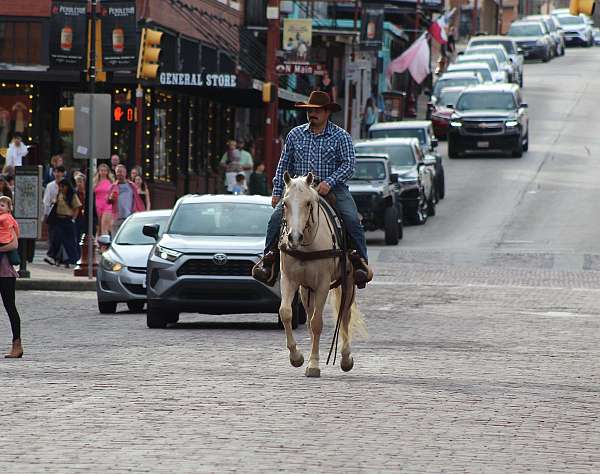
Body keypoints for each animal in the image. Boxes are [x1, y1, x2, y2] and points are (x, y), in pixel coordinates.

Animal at [278, 171, 366, 378]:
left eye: (308, 203)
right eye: (285, 203)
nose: (294, 237)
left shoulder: (323, 284)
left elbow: (317, 322)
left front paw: (314, 365)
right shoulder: (288, 280)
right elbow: (286, 313)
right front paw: (297, 357)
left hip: (348, 283)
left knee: (345, 315)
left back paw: (345, 358)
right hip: (305, 289)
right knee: (310, 317)